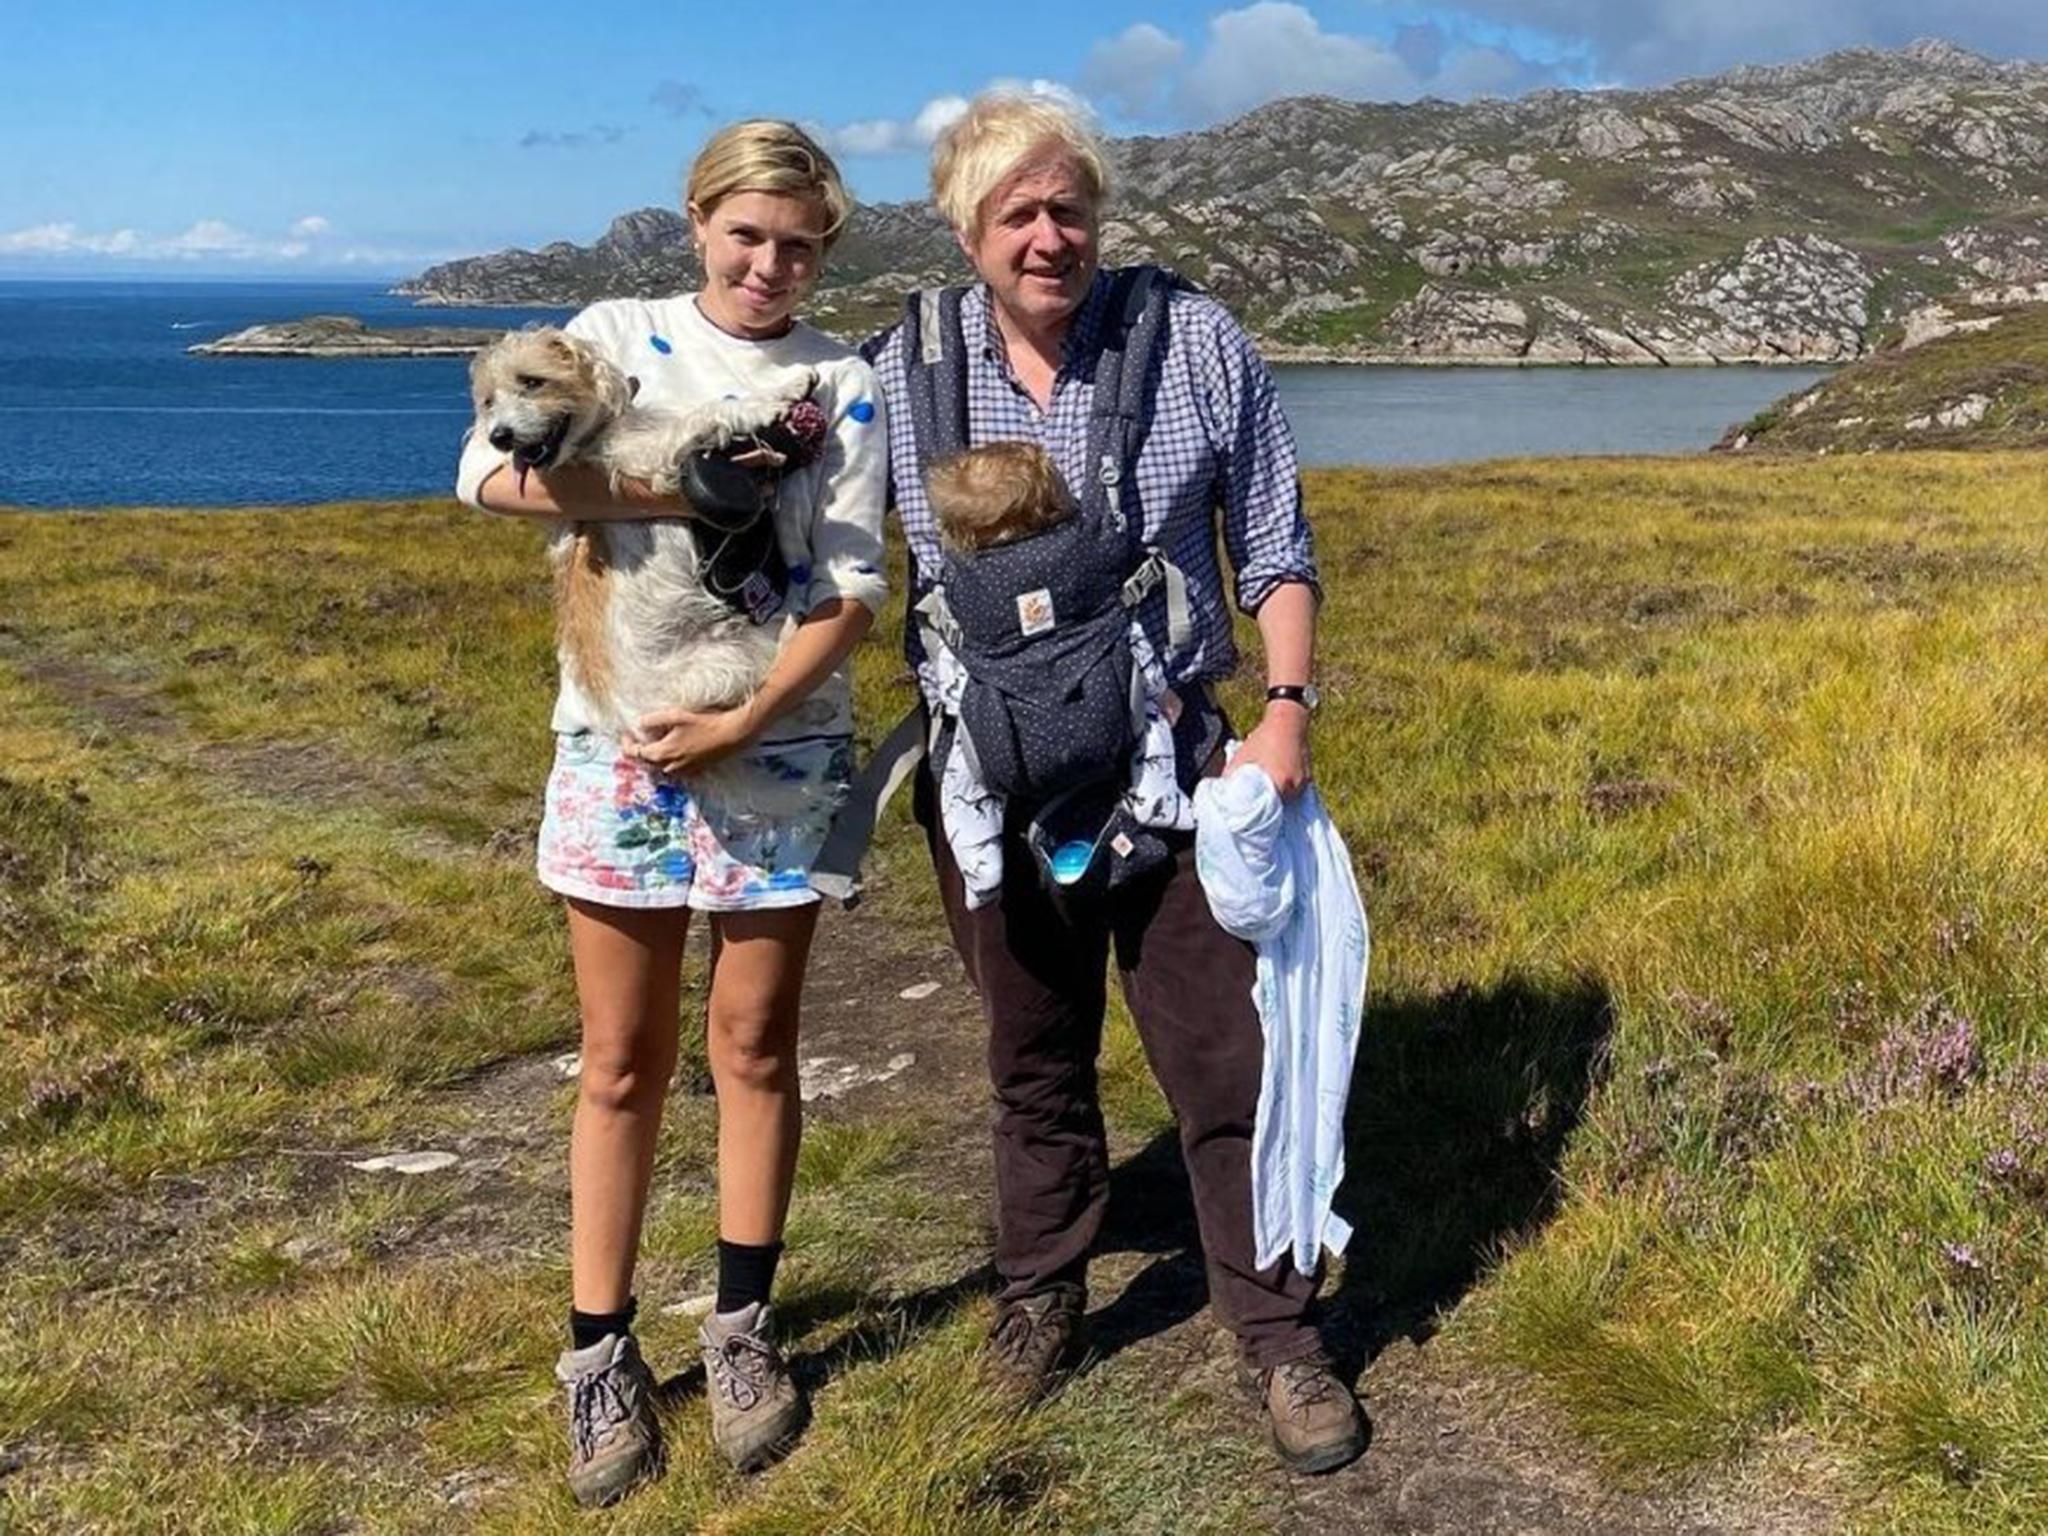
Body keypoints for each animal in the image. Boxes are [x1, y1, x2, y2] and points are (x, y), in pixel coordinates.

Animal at [466, 329, 815, 774]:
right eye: (489, 401)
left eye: (531, 381)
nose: (499, 437)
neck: (595, 438)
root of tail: (630, 726)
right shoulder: (653, 458)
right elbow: (707, 412)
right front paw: (774, 397)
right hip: (724, 662)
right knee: (770, 670)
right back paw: (791, 626)